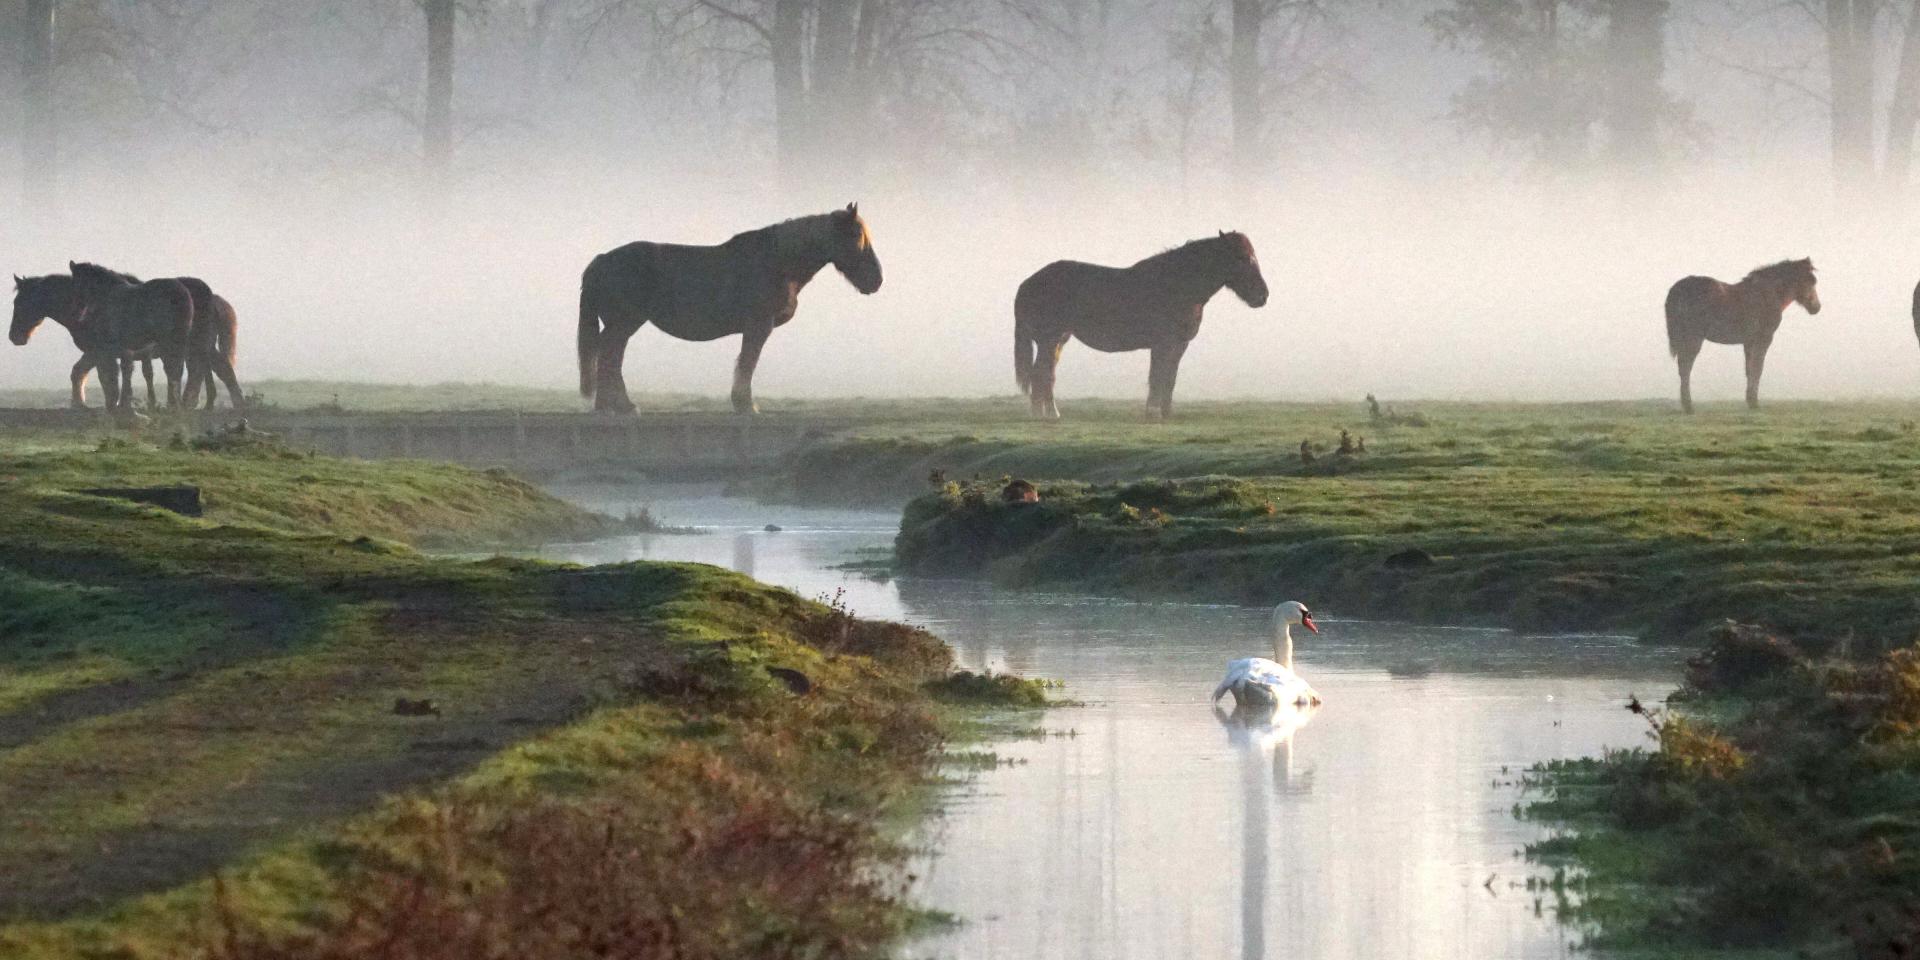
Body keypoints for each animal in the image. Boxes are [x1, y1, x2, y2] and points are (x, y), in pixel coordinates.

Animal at [576, 203, 883, 414]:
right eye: (857, 235)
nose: (877, 280)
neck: (777, 263)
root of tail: (602, 260)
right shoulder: (759, 326)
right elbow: (747, 363)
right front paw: (746, 405)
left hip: (622, 324)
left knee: (610, 355)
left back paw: (611, 406)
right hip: (624, 323)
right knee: (610, 355)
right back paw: (618, 407)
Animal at [1664, 258, 1820, 414]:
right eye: (1810, 281)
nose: (1816, 307)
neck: (1768, 294)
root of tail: (1679, 288)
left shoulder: (1749, 342)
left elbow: (1749, 369)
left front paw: (1749, 400)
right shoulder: (1764, 339)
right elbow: (1758, 368)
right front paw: (1754, 403)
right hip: (1694, 337)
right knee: (1686, 367)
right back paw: (1689, 406)